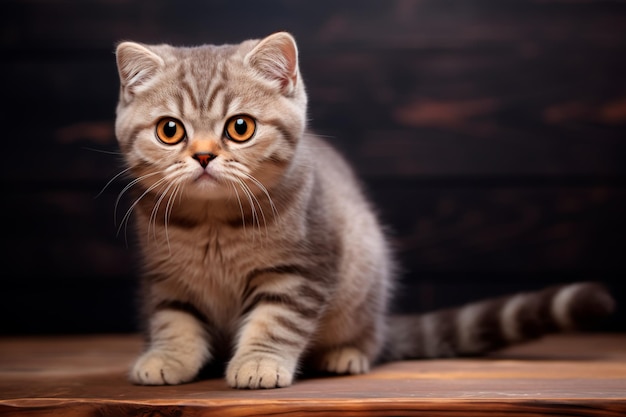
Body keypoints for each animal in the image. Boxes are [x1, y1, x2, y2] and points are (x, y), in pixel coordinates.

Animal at [113, 31, 616, 386]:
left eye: (240, 127)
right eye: (170, 131)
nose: (202, 156)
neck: (212, 222)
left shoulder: (303, 270)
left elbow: (276, 321)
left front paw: (259, 363)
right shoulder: (166, 276)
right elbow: (173, 319)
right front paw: (167, 357)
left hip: (365, 273)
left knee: (367, 339)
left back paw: (346, 353)